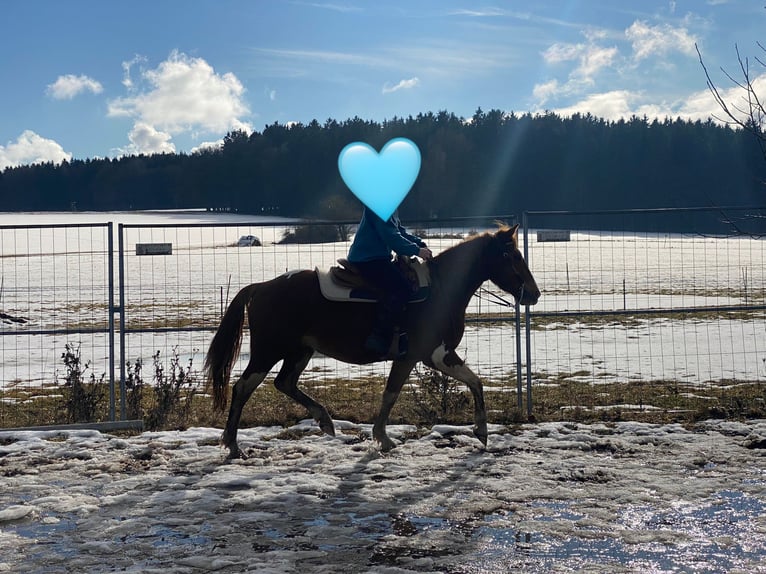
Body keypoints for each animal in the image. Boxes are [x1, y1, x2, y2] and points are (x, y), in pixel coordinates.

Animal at [204, 224, 540, 458]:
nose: (534, 294)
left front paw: (481, 431)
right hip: (268, 351)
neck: (441, 290)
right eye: (510, 255)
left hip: (300, 351)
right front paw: (383, 437)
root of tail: (260, 287)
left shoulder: (437, 354)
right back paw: (232, 445)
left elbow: (474, 381)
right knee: (243, 387)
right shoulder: (416, 356)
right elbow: (391, 394)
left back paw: (325, 421)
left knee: (284, 382)